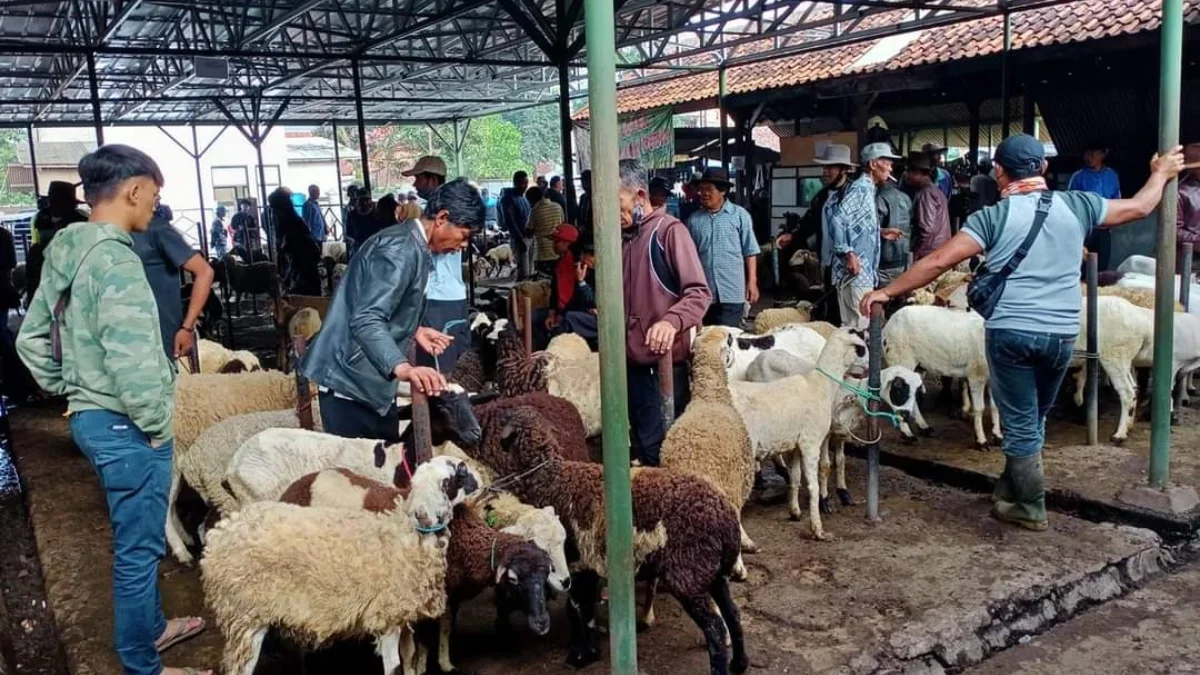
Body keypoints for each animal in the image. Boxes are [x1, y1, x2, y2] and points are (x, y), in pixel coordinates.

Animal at [199, 451, 475, 672]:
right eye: (458, 472)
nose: (478, 481)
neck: (406, 533)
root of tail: (219, 537)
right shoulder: (385, 616)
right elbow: (394, 666)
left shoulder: (401, 612)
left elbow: (408, 658)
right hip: (245, 615)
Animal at [468, 403, 748, 672]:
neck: (549, 478)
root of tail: (726, 519)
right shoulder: (587, 562)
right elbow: (585, 610)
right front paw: (589, 649)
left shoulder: (576, 561)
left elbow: (576, 609)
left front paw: (579, 654)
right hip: (713, 573)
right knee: (733, 613)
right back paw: (739, 663)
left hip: (688, 575)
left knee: (715, 628)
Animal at [720, 326, 864, 535]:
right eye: (861, 346)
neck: (820, 384)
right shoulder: (811, 442)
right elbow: (813, 485)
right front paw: (817, 527)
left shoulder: (795, 445)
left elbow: (796, 478)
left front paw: (795, 512)